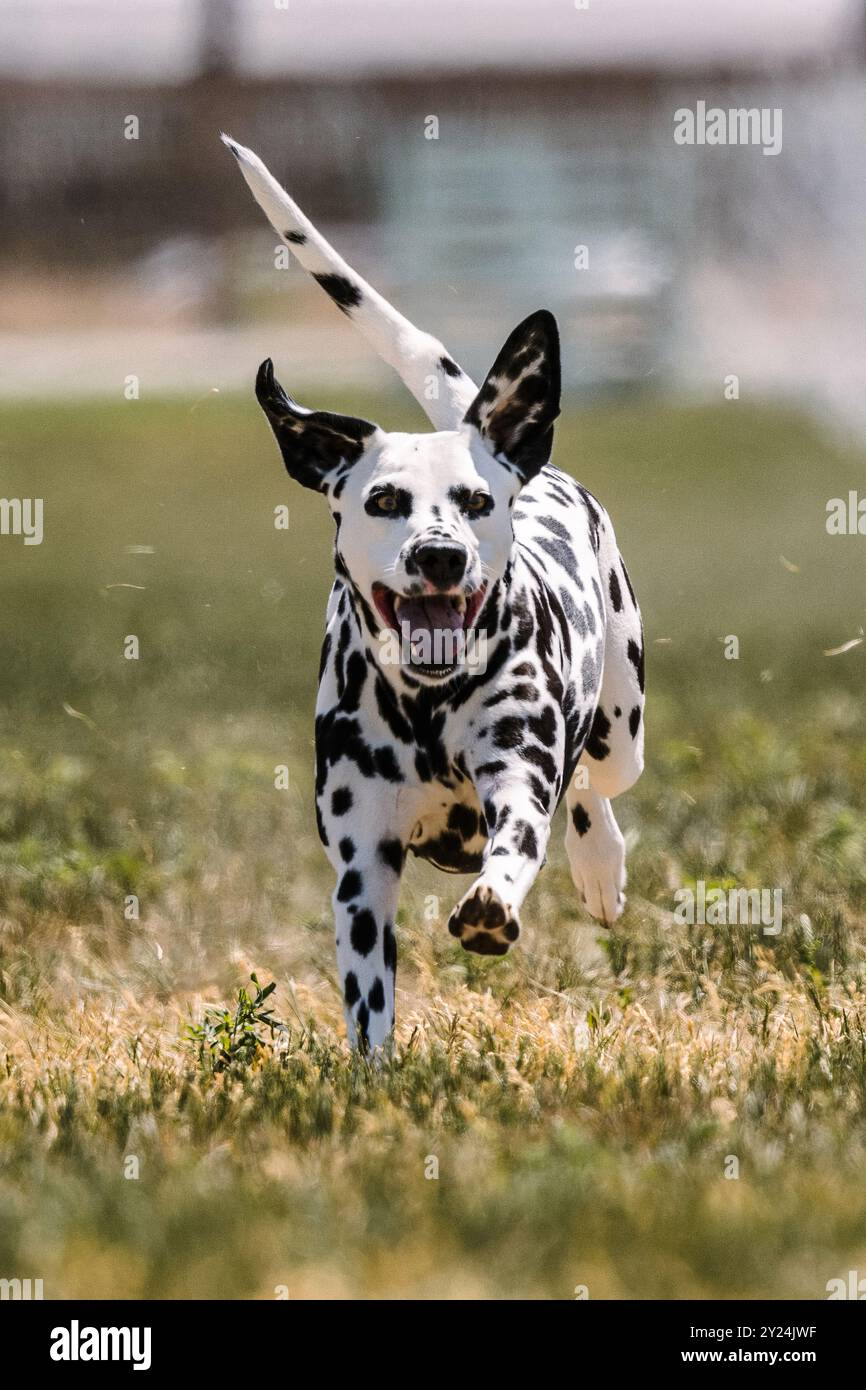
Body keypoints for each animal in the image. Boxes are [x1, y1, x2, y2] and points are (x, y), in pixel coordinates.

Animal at [223, 138, 644, 1050]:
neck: (425, 704)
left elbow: (517, 843)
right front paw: (373, 1073)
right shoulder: (363, 868)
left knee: (591, 788)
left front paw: (492, 903)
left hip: (619, 730)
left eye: (476, 501)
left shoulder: (516, 779)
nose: (442, 556)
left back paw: (600, 867)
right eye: (384, 501)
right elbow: (369, 1002)